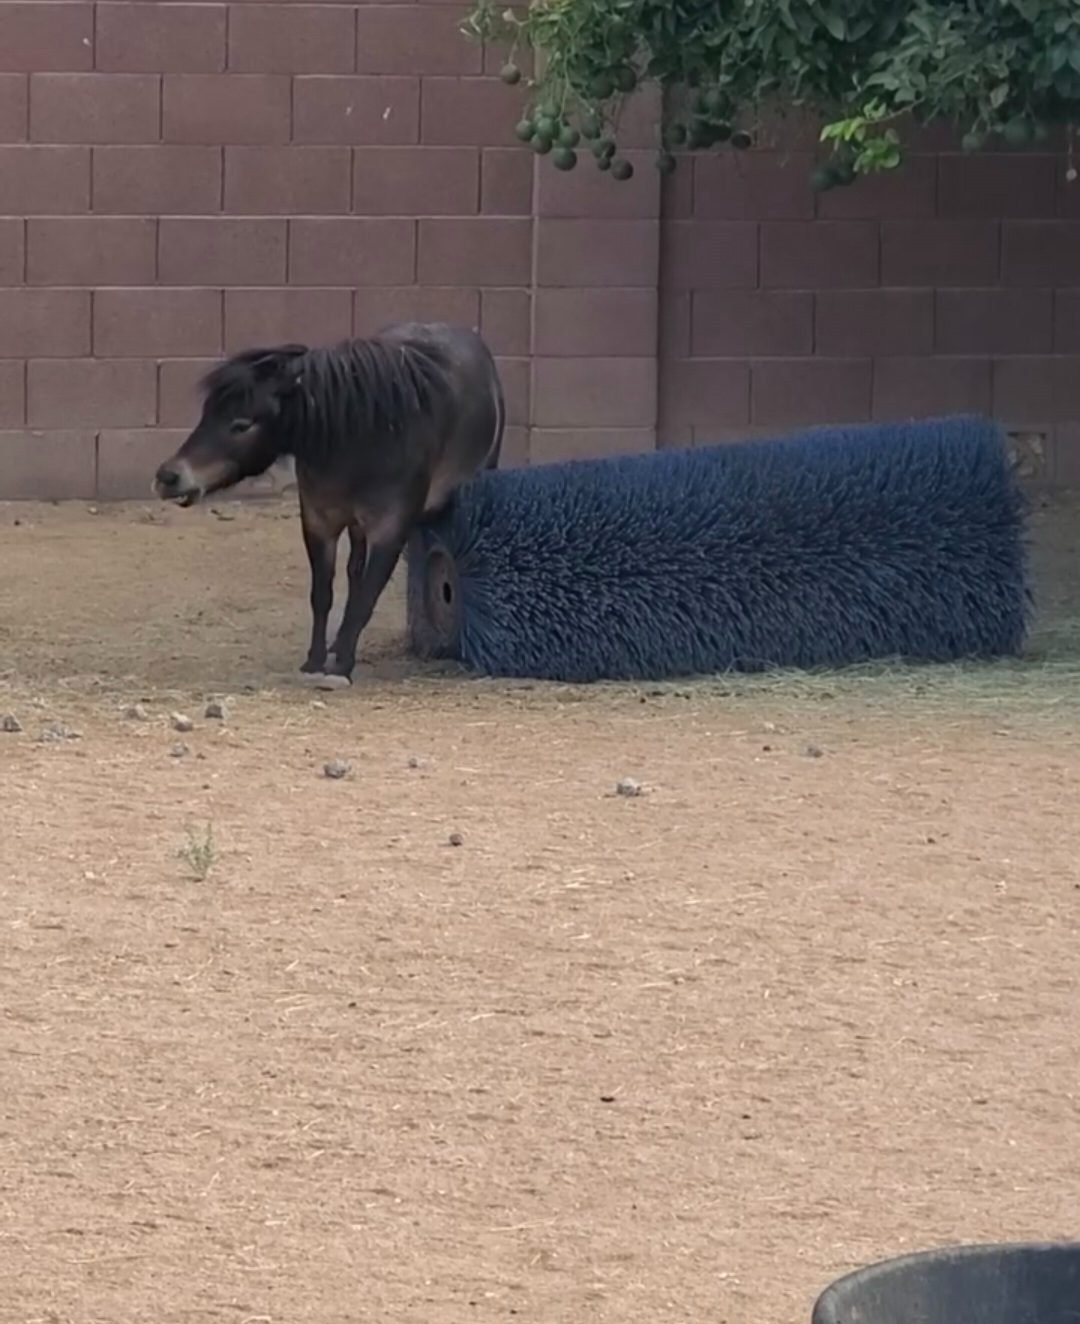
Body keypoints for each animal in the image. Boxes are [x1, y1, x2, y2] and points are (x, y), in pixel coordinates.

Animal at [152, 322, 505, 687]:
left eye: (242, 424)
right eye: (206, 413)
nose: (168, 477)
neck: (358, 436)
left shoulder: (389, 532)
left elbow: (366, 597)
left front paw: (341, 667)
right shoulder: (319, 523)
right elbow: (323, 594)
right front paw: (315, 660)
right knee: (353, 571)